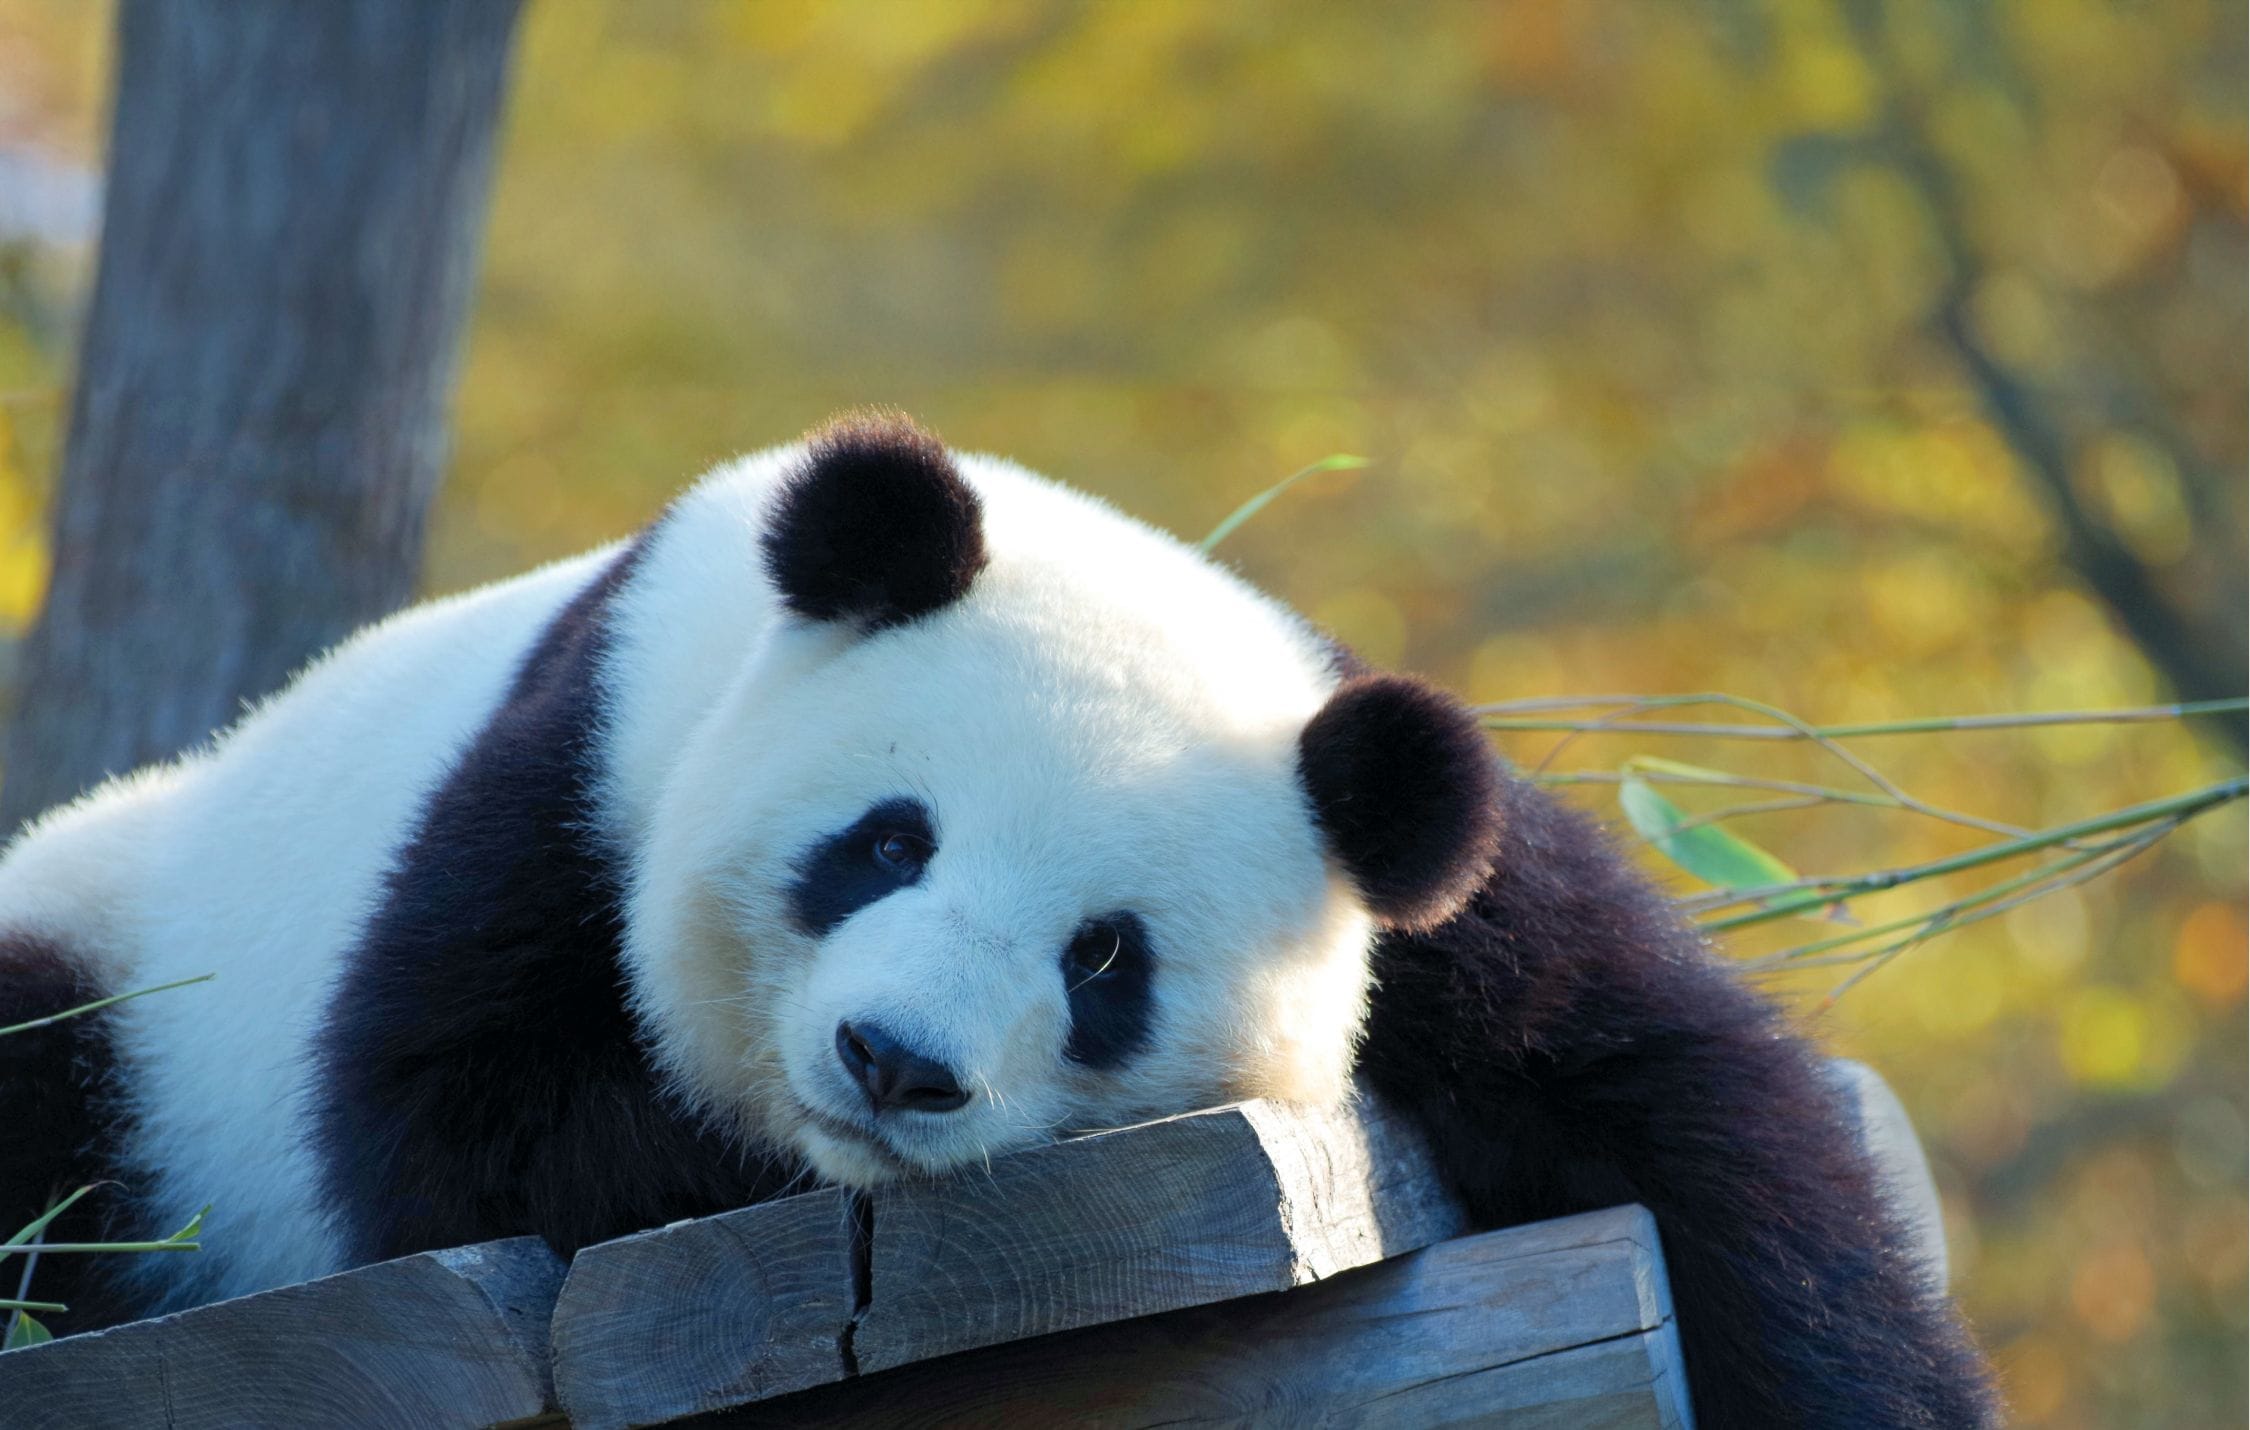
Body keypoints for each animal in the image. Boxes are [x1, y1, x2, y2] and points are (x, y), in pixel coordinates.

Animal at [0, 412, 1995, 1426]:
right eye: (886, 843)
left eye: (1104, 958)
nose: (895, 1064)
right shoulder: (582, 763)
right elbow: (456, 1112)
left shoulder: (1425, 888)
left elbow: (1699, 1125)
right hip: (124, 963)